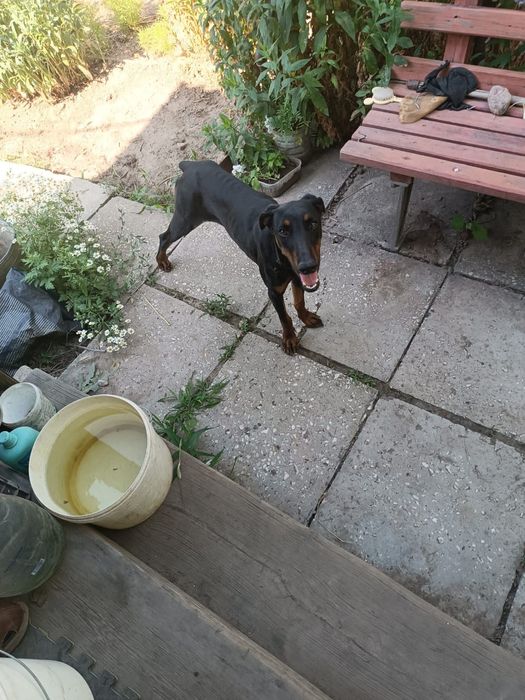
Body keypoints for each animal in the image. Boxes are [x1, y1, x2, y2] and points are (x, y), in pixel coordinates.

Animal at [156, 160, 325, 354]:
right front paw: (289, 338)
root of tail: (188, 165)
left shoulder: (298, 278)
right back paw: (162, 261)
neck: (282, 257)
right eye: (282, 231)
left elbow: (299, 301)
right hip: (186, 219)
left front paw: (306, 317)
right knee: (164, 237)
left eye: (312, 223)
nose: (308, 266)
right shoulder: (274, 291)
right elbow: (283, 317)